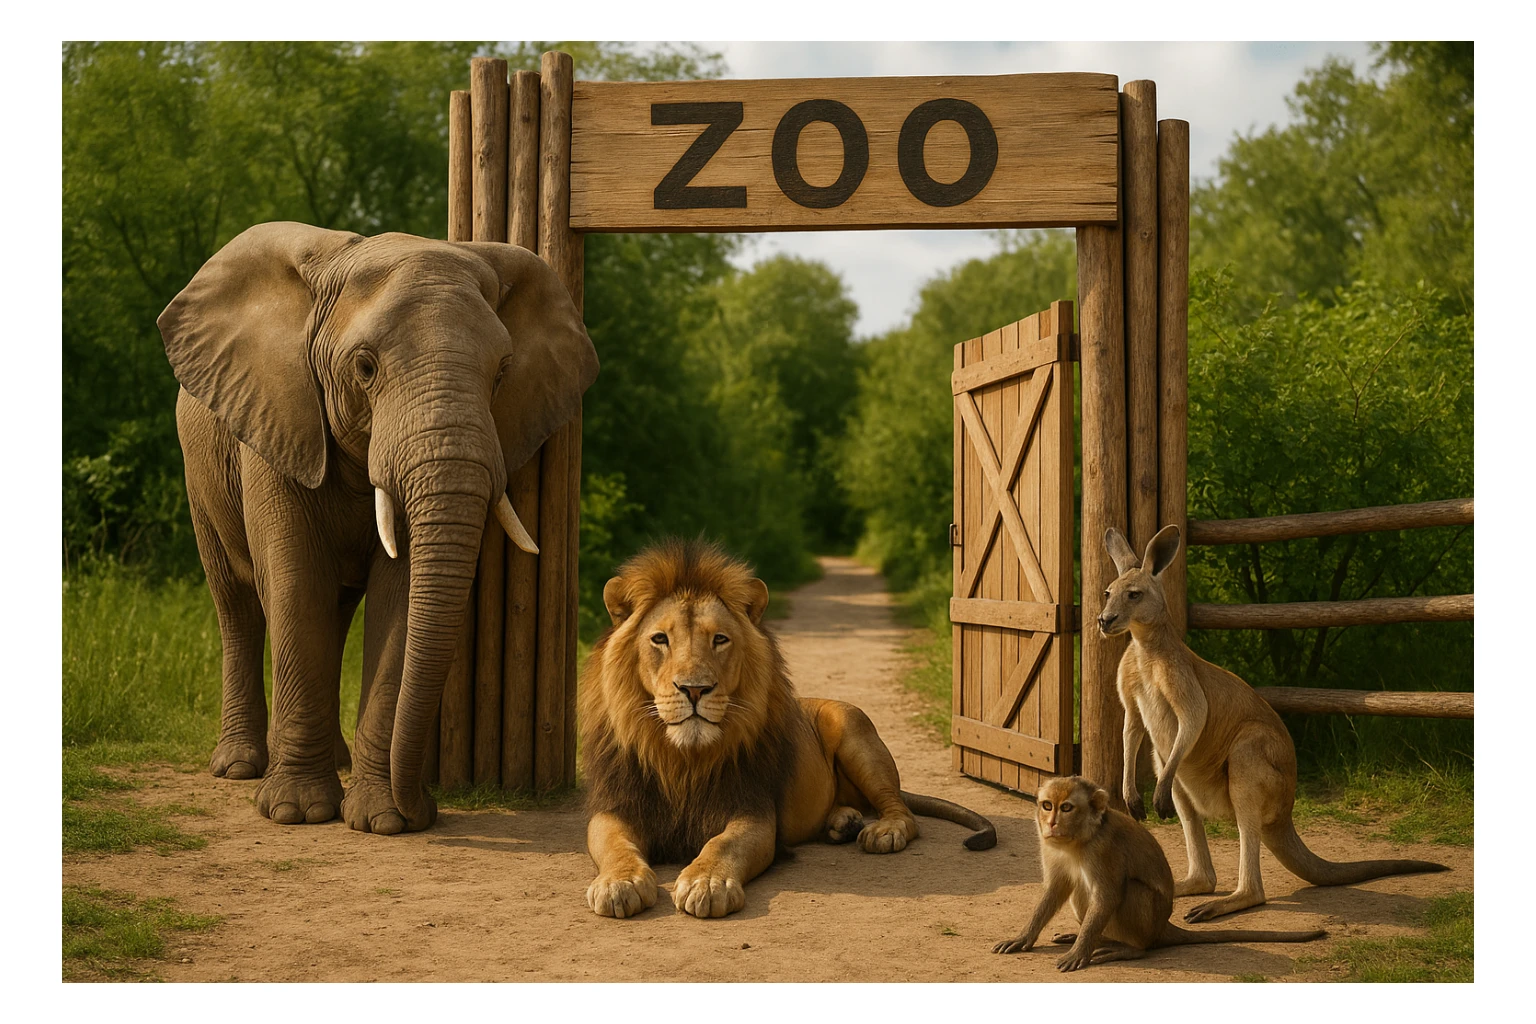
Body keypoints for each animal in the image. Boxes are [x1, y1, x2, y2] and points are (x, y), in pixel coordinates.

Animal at [158, 221, 598, 834]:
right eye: (364, 368)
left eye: (503, 373)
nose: (426, 809)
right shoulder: (278, 420)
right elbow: (296, 585)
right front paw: (297, 813)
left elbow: (400, 596)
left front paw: (384, 820)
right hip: (198, 473)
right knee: (237, 605)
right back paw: (239, 767)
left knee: (335, 611)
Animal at [580, 539, 997, 919]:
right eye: (660, 639)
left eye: (720, 639)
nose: (694, 689)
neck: (681, 758)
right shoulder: (616, 805)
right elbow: (615, 844)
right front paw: (619, 882)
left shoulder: (753, 811)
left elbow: (722, 845)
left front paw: (706, 883)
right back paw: (842, 822)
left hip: (853, 730)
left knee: (901, 810)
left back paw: (882, 831)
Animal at [992, 776, 1326, 971]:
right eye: (1047, 805)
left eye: (1067, 808)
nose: (1051, 824)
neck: (1079, 839)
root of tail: (1161, 926)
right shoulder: (1050, 847)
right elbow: (1056, 889)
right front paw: (1024, 936)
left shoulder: (1104, 848)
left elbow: (1109, 894)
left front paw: (1080, 950)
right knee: (1080, 891)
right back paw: (1103, 940)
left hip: (1147, 923)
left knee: (1128, 892)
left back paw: (1128, 950)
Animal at [1101, 524, 1449, 921]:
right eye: (1107, 593)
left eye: (1134, 595)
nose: (1103, 620)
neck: (1146, 647)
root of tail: (1284, 817)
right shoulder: (1130, 693)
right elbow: (1130, 728)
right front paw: (1131, 799)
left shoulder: (1183, 680)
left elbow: (1194, 717)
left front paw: (1146, 800)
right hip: (1174, 772)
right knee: (1194, 839)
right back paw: (1183, 882)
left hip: (1250, 759)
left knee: (1252, 878)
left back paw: (1223, 901)